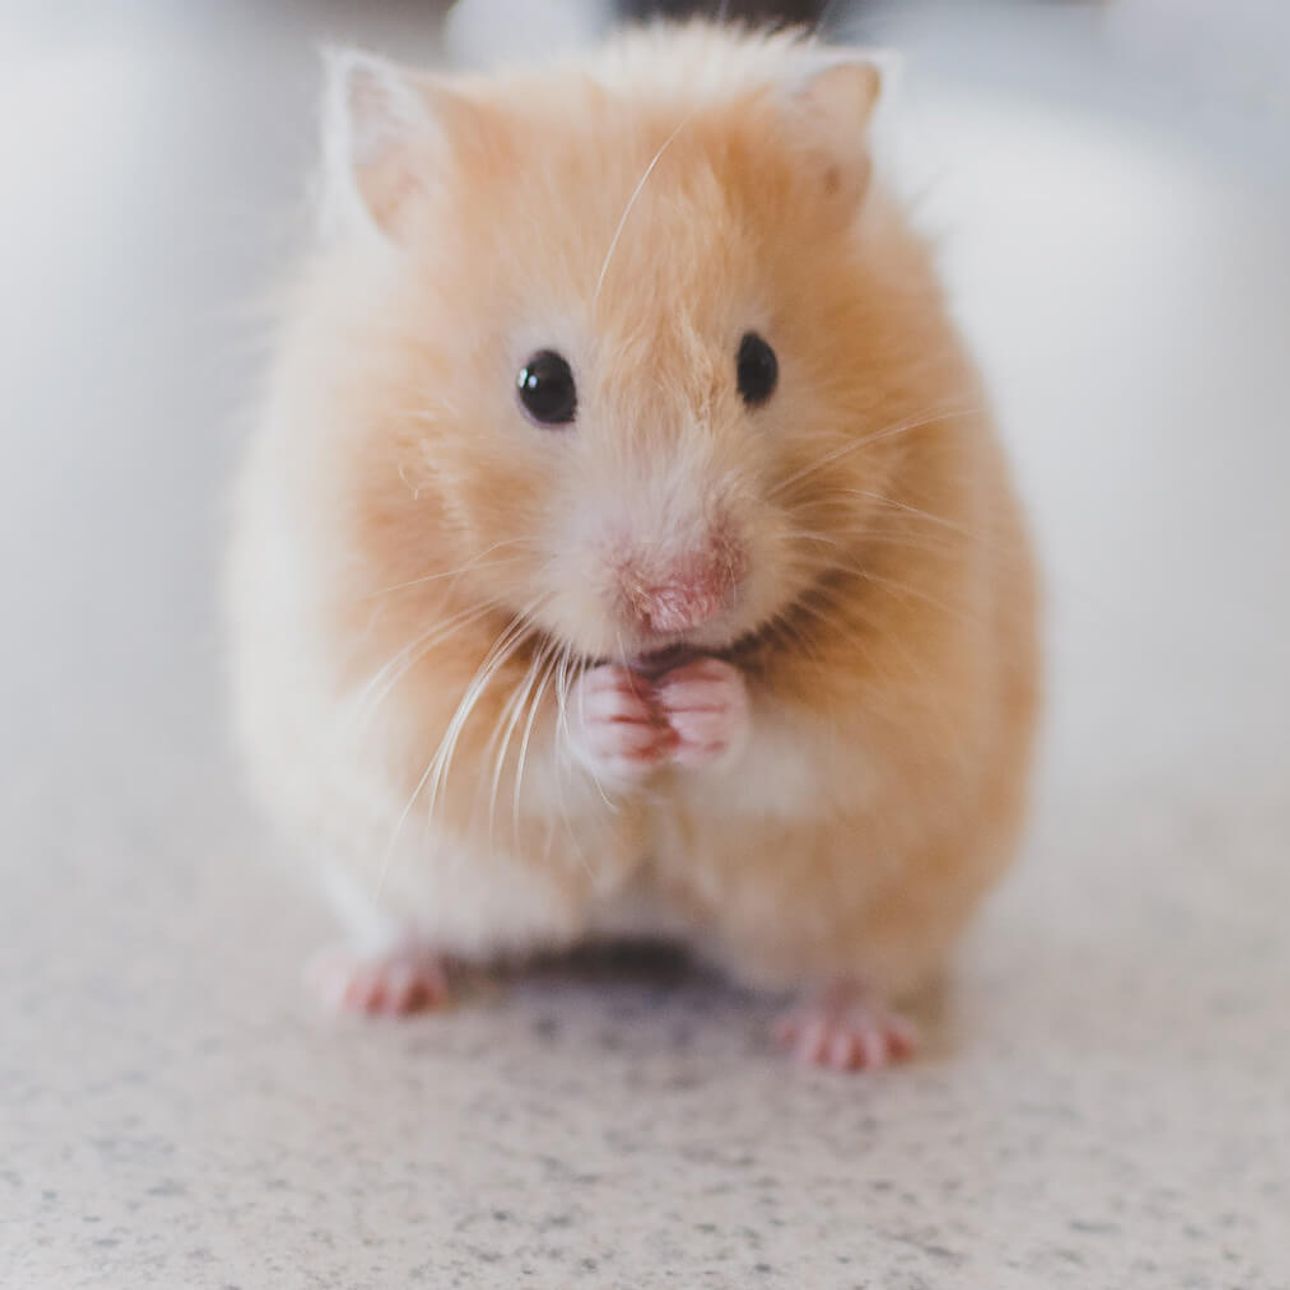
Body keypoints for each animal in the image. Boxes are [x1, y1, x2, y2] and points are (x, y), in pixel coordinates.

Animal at [229, 20, 1037, 1068]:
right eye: (540, 384)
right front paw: (615, 713)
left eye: (760, 366)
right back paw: (368, 987)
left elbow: (804, 741)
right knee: (405, 923)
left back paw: (845, 1043)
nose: (684, 603)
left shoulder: (911, 686)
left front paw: (700, 705)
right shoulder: (380, 676)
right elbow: (516, 746)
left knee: (861, 964)